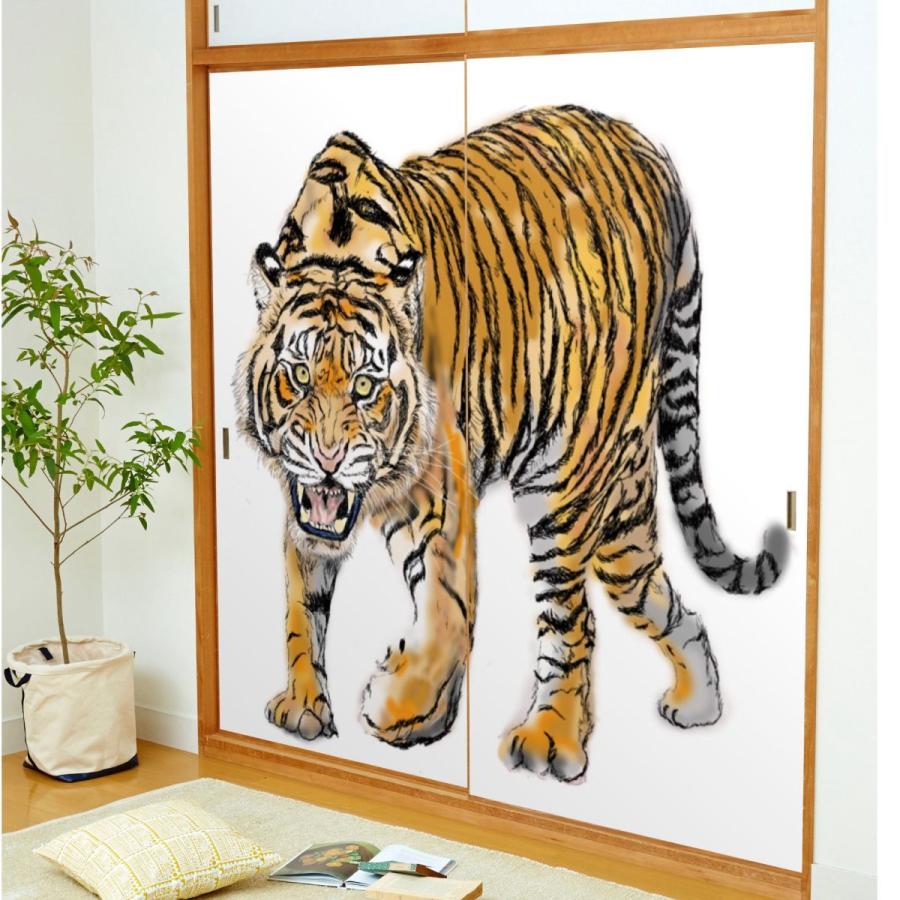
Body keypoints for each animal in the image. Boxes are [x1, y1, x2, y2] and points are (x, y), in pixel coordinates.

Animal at [234, 105, 788, 783]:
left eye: (366, 387)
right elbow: (300, 604)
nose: (330, 461)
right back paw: (698, 703)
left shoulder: (439, 495)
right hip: (623, 516)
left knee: (574, 624)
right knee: (662, 600)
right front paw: (306, 706)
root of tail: (657, 158)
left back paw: (551, 739)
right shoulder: (304, 505)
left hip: (564, 485)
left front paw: (400, 703)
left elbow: (446, 615)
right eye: (298, 376)